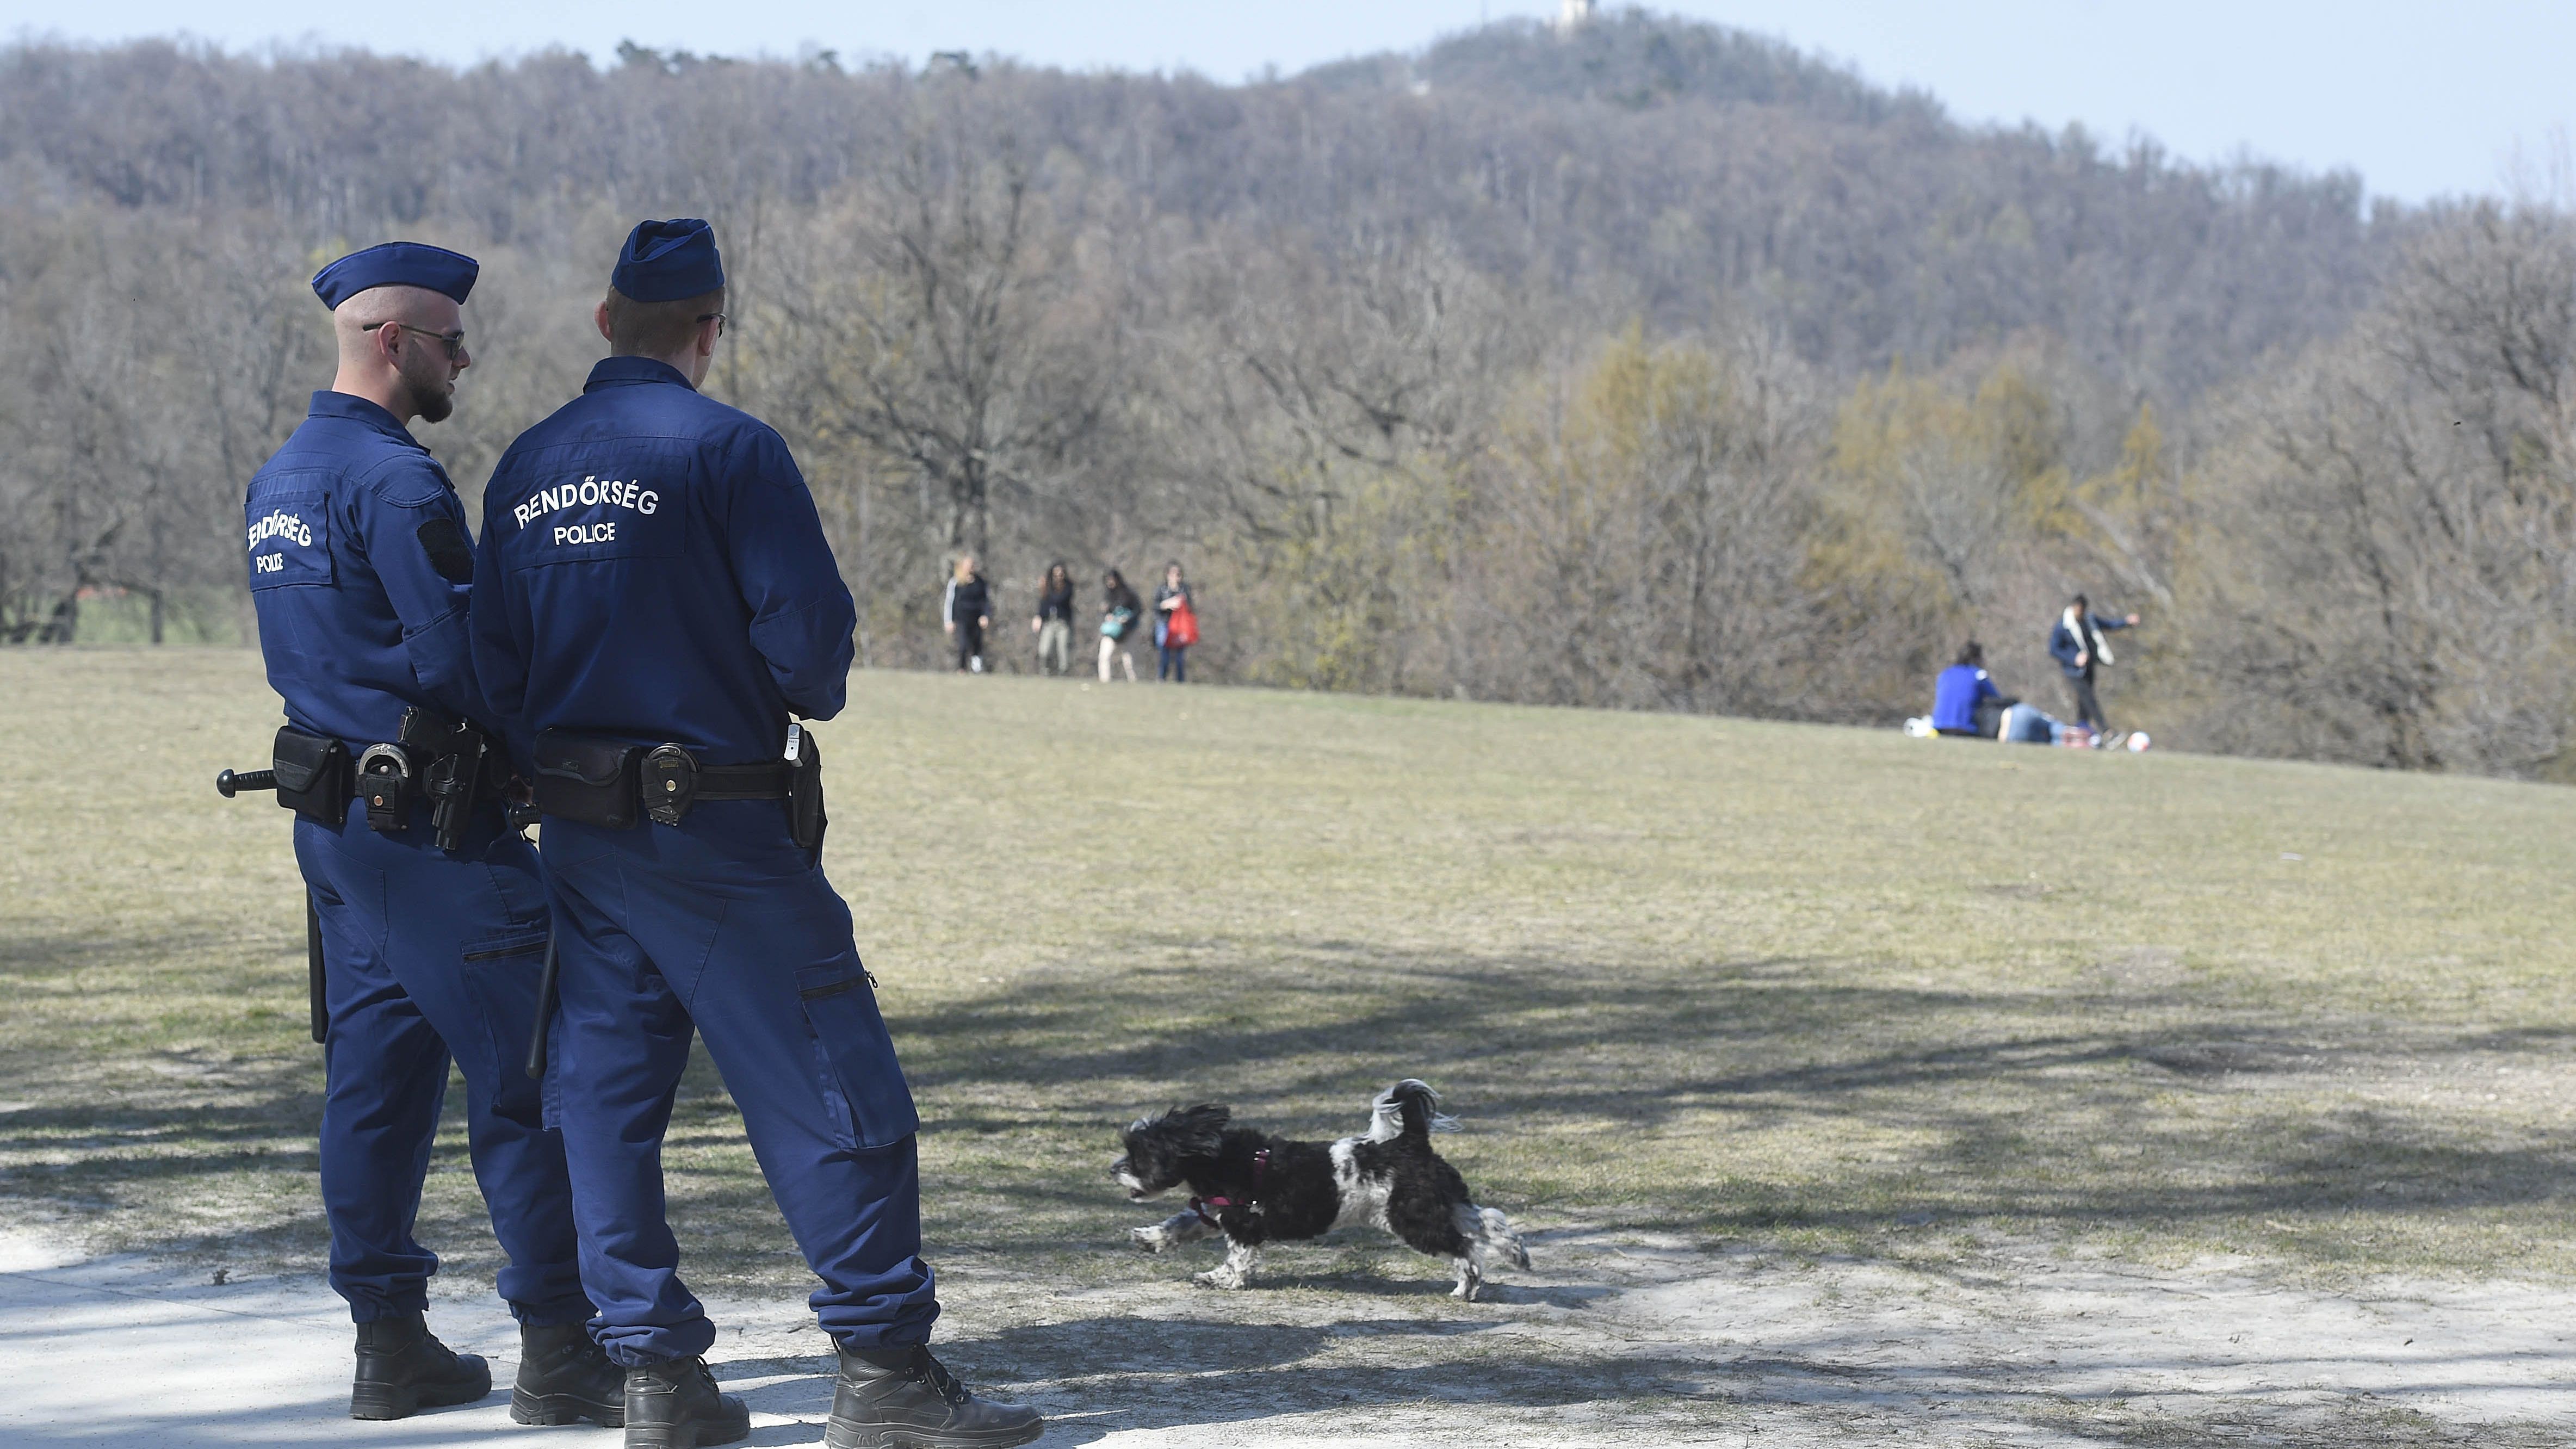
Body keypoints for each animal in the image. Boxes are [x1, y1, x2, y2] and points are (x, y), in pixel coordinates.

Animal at [1112, 1072, 1525, 1299]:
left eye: (1140, 1155)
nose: (1115, 1170)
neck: (1219, 1156)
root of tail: (1410, 1143)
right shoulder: (1218, 1212)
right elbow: (1179, 1226)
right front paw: (1150, 1239)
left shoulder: (1243, 1223)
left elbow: (1237, 1259)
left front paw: (1219, 1279)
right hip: (1442, 1203)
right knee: (1489, 1219)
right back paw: (1517, 1253)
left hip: (1412, 1218)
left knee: (1465, 1247)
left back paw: (1467, 1287)